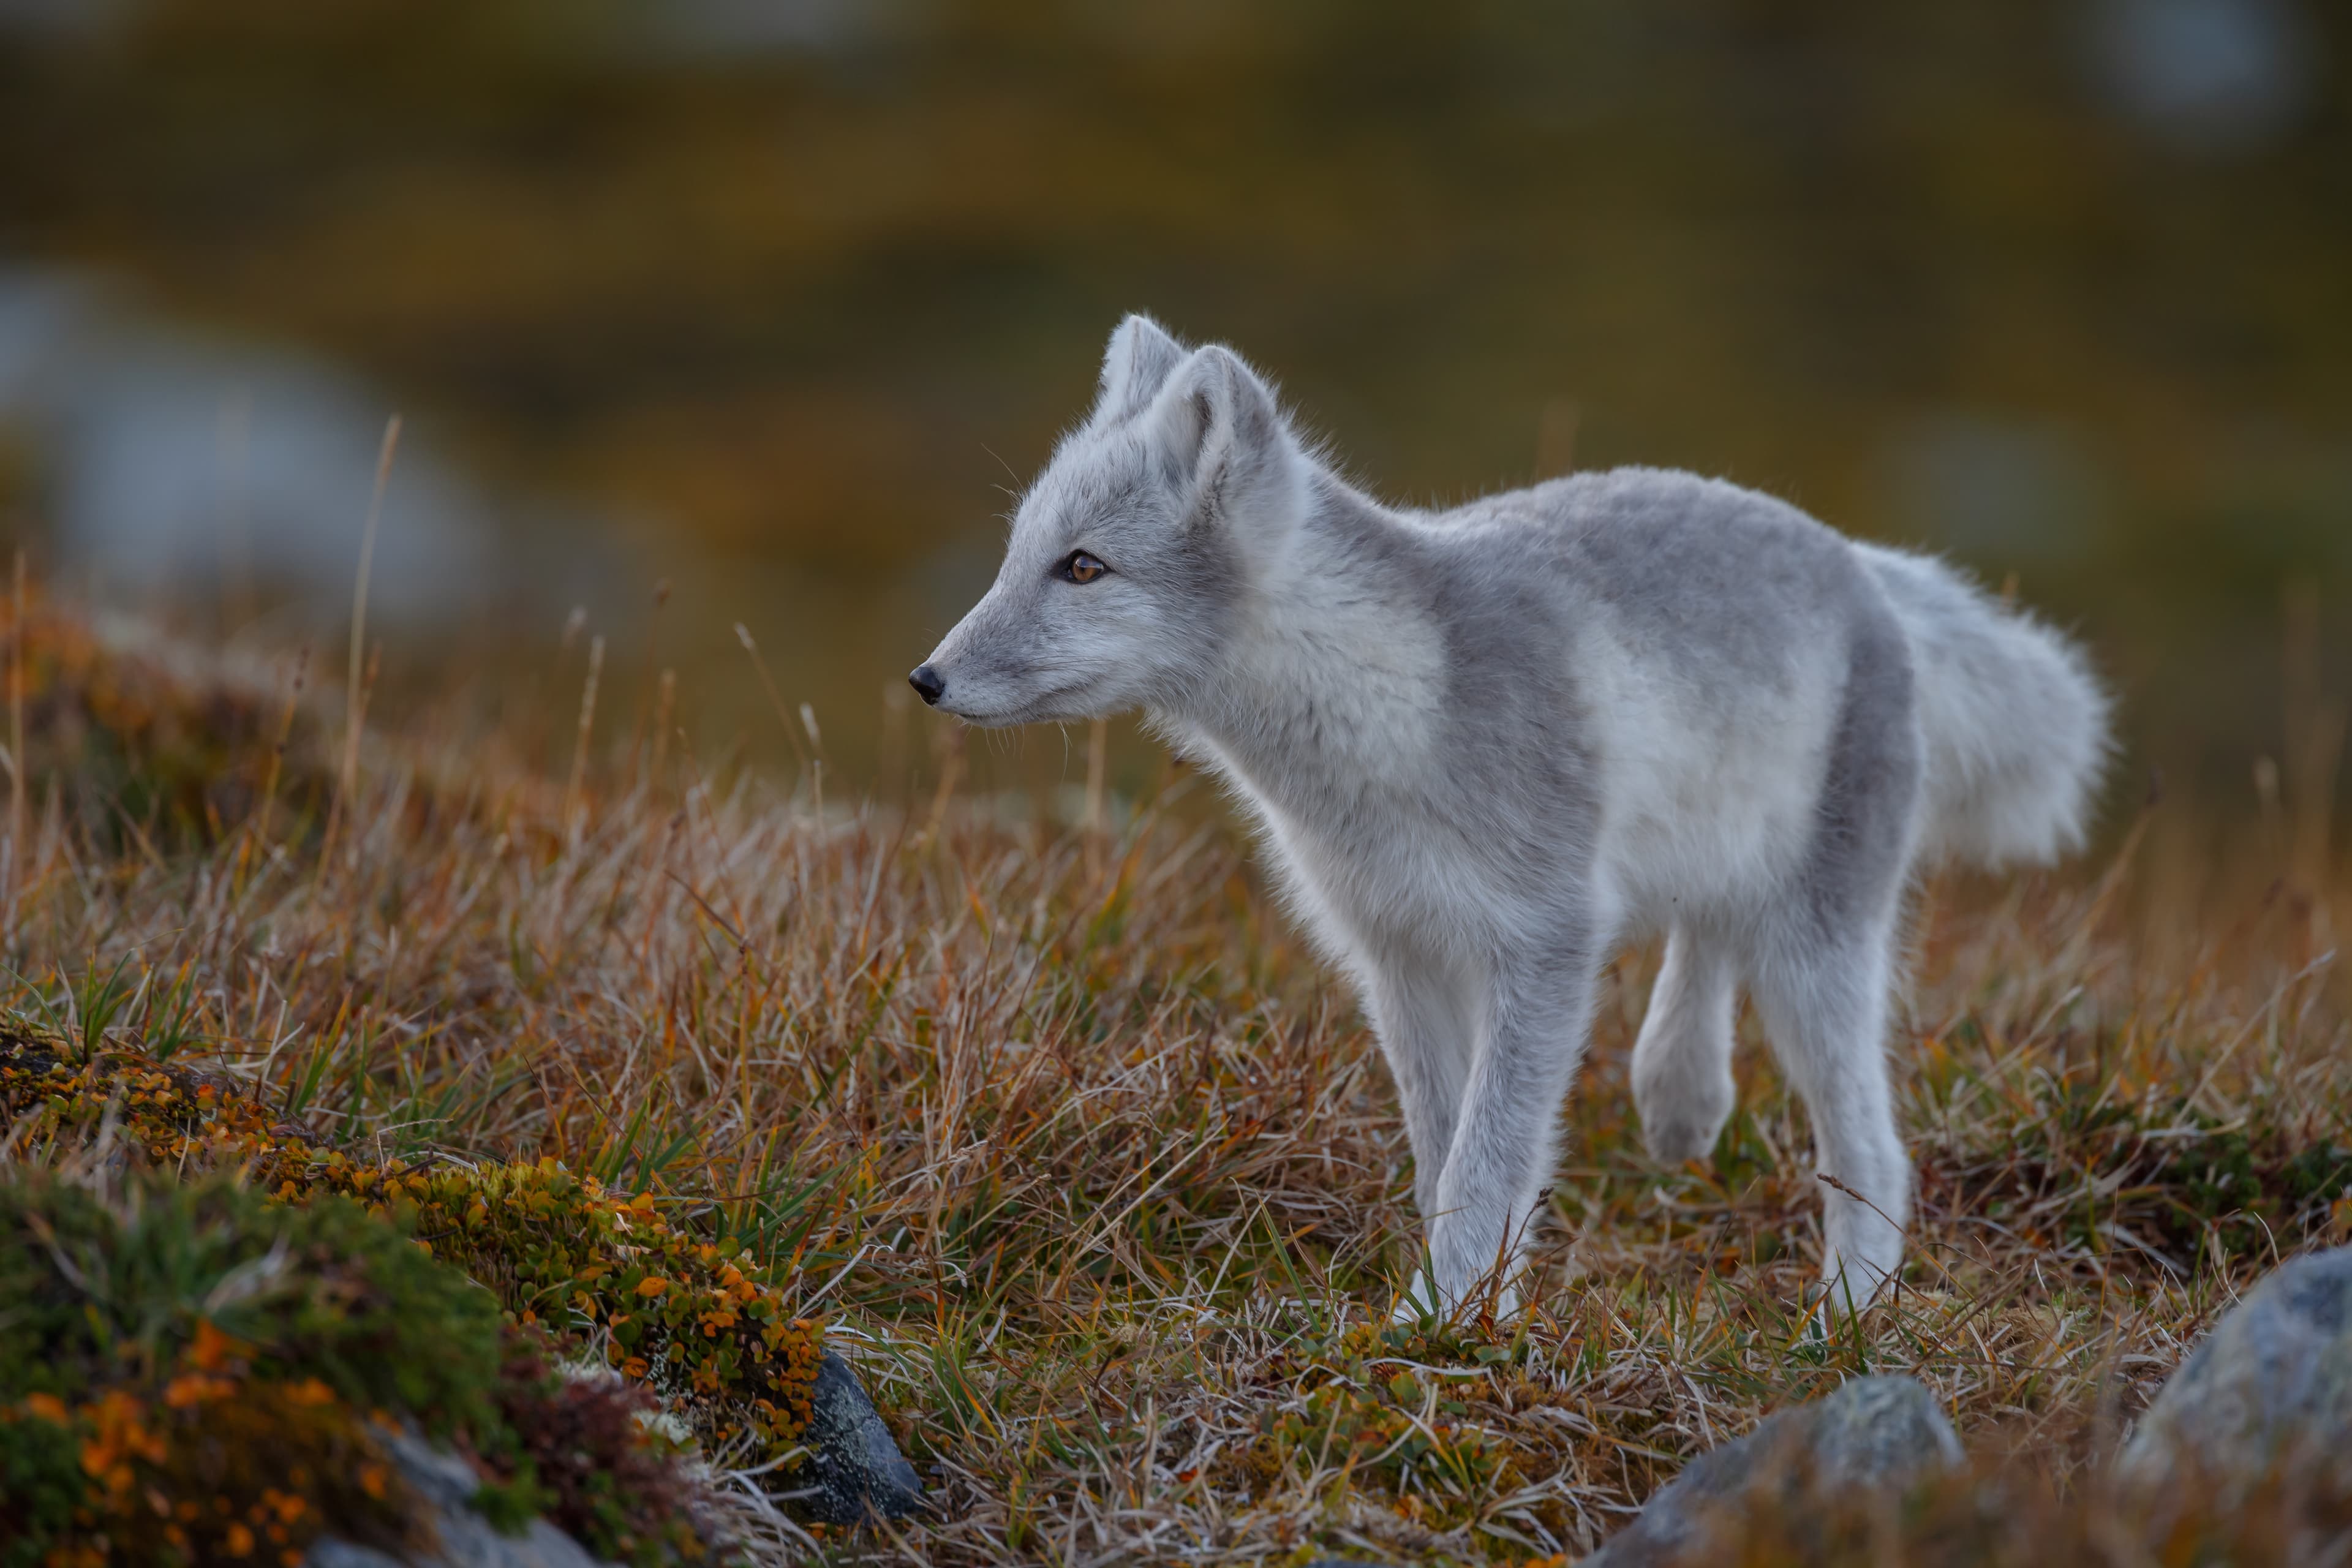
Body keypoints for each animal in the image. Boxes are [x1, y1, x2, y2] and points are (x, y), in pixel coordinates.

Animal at [911, 315, 2109, 1318]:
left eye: (1083, 568)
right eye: (1019, 553)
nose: (925, 680)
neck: (1381, 722)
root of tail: (1862, 561)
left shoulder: (1546, 941)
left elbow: (1490, 1156)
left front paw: (1436, 1326)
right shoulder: (1397, 954)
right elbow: (1446, 1153)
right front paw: (1481, 1305)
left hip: (1818, 950)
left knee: (1873, 1149)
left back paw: (1848, 1316)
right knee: (1708, 930)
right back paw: (1681, 1097)